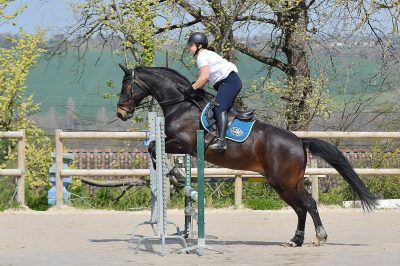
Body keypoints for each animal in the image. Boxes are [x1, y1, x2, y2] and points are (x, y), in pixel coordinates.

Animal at [116, 64, 378, 247]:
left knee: (307, 204)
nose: (121, 113)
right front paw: (171, 170)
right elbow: (153, 145)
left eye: (126, 86)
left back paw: (318, 237)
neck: (182, 104)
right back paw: (296, 240)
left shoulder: (183, 143)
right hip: (286, 183)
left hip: (283, 182)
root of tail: (299, 141)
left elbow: (153, 147)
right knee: (302, 207)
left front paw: (170, 168)